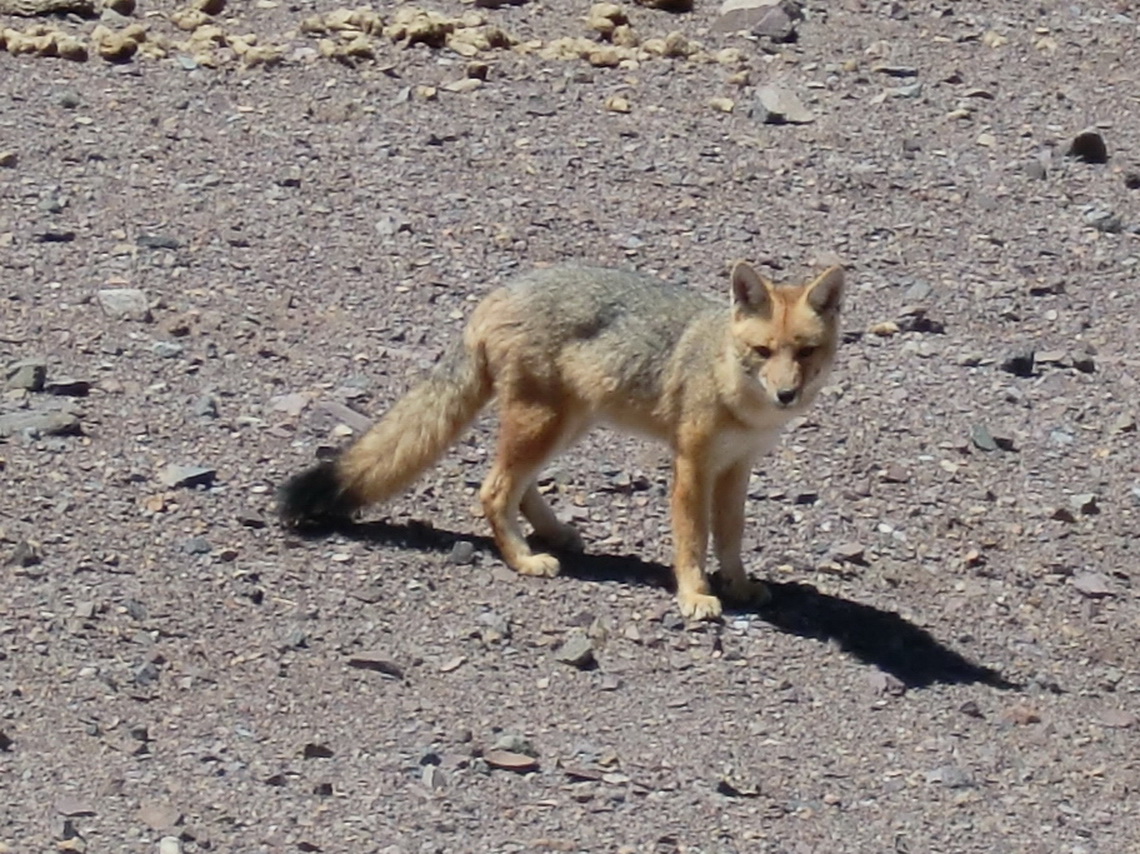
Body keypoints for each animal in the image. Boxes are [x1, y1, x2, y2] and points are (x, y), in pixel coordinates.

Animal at [279, 259, 843, 620]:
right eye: (763, 351)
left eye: (805, 351)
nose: (787, 394)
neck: (740, 398)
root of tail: (497, 294)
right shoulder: (692, 464)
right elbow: (692, 538)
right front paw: (694, 595)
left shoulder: (737, 466)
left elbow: (729, 536)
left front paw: (740, 584)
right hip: (545, 423)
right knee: (493, 489)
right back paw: (524, 559)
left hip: (566, 425)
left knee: (517, 484)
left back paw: (551, 534)